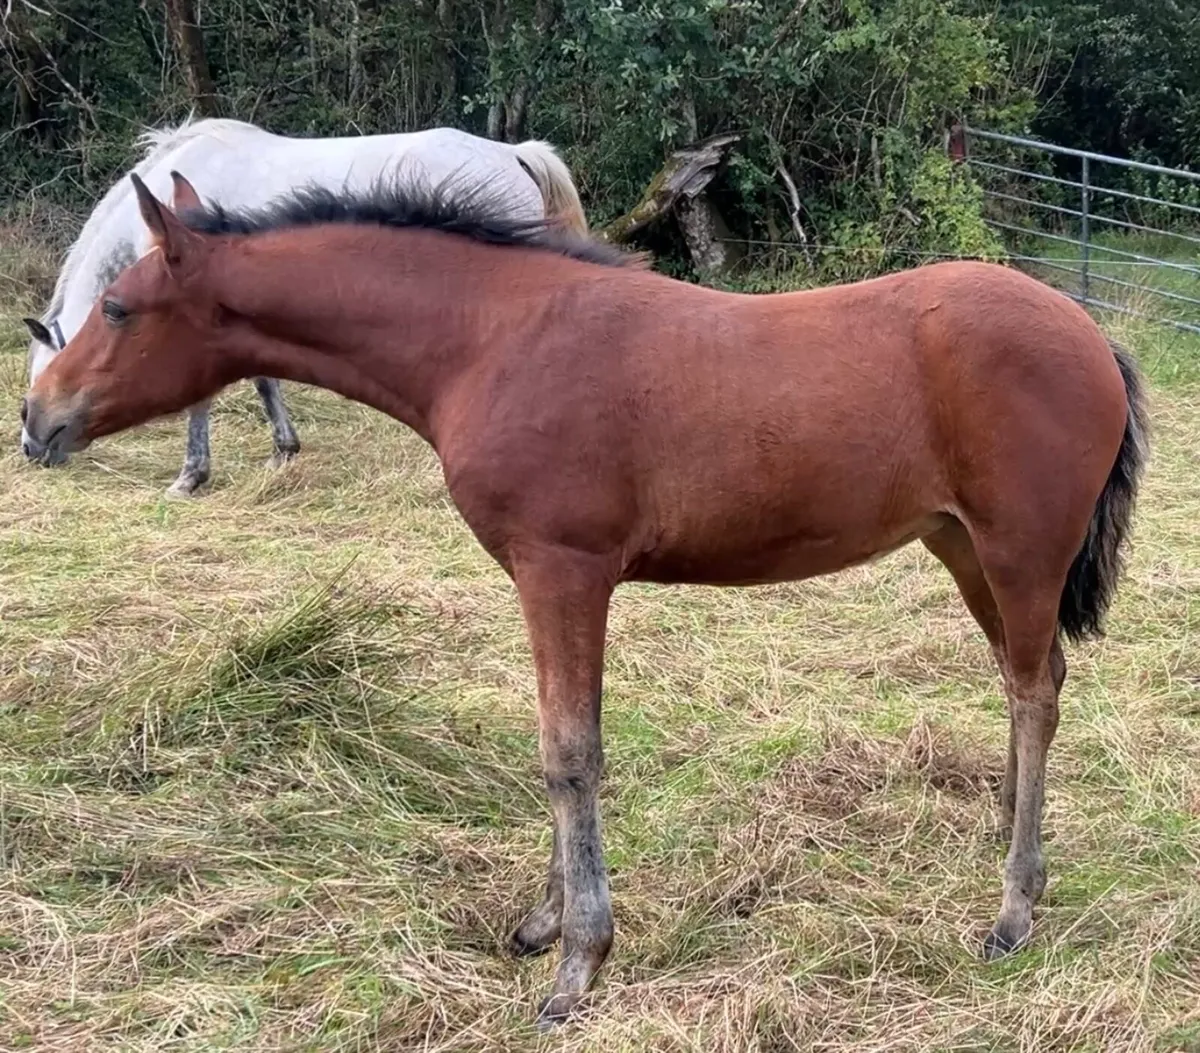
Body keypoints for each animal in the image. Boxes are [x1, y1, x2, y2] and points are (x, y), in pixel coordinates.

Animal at [19, 116, 587, 496]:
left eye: (38, 369)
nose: (30, 445)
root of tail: (512, 152)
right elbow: (264, 378)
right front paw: (283, 449)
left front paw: (190, 476)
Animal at [23, 171, 1148, 1027]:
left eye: (118, 308)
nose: (37, 419)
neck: (492, 338)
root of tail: (1091, 334)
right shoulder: (548, 576)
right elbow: (558, 746)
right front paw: (542, 923)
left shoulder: (561, 568)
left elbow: (570, 753)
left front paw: (578, 961)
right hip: (960, 547)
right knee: (1028, 677)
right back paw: (1008, 843)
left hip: (1019, 552)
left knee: (1035, 690)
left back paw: (1014, 907)